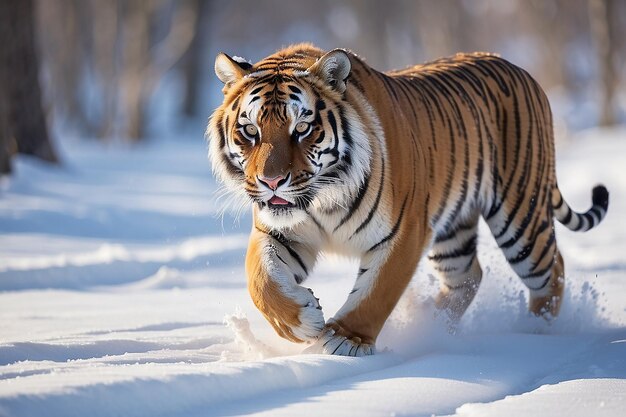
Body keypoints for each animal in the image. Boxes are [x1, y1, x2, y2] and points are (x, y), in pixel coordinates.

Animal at [207, 42, 608, 356]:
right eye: (250, 130)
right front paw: (301, 322)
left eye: (302, 128)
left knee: (551, 270)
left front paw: (345, 339)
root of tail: (519, 68)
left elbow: (377, 291)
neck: (322, 198)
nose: (271, 181)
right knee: (468, 276)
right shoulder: (279, 232)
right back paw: (432, 322)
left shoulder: (404, 232)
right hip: (454, 232)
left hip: (520, 216)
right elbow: (261, 279)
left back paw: (537, 333)